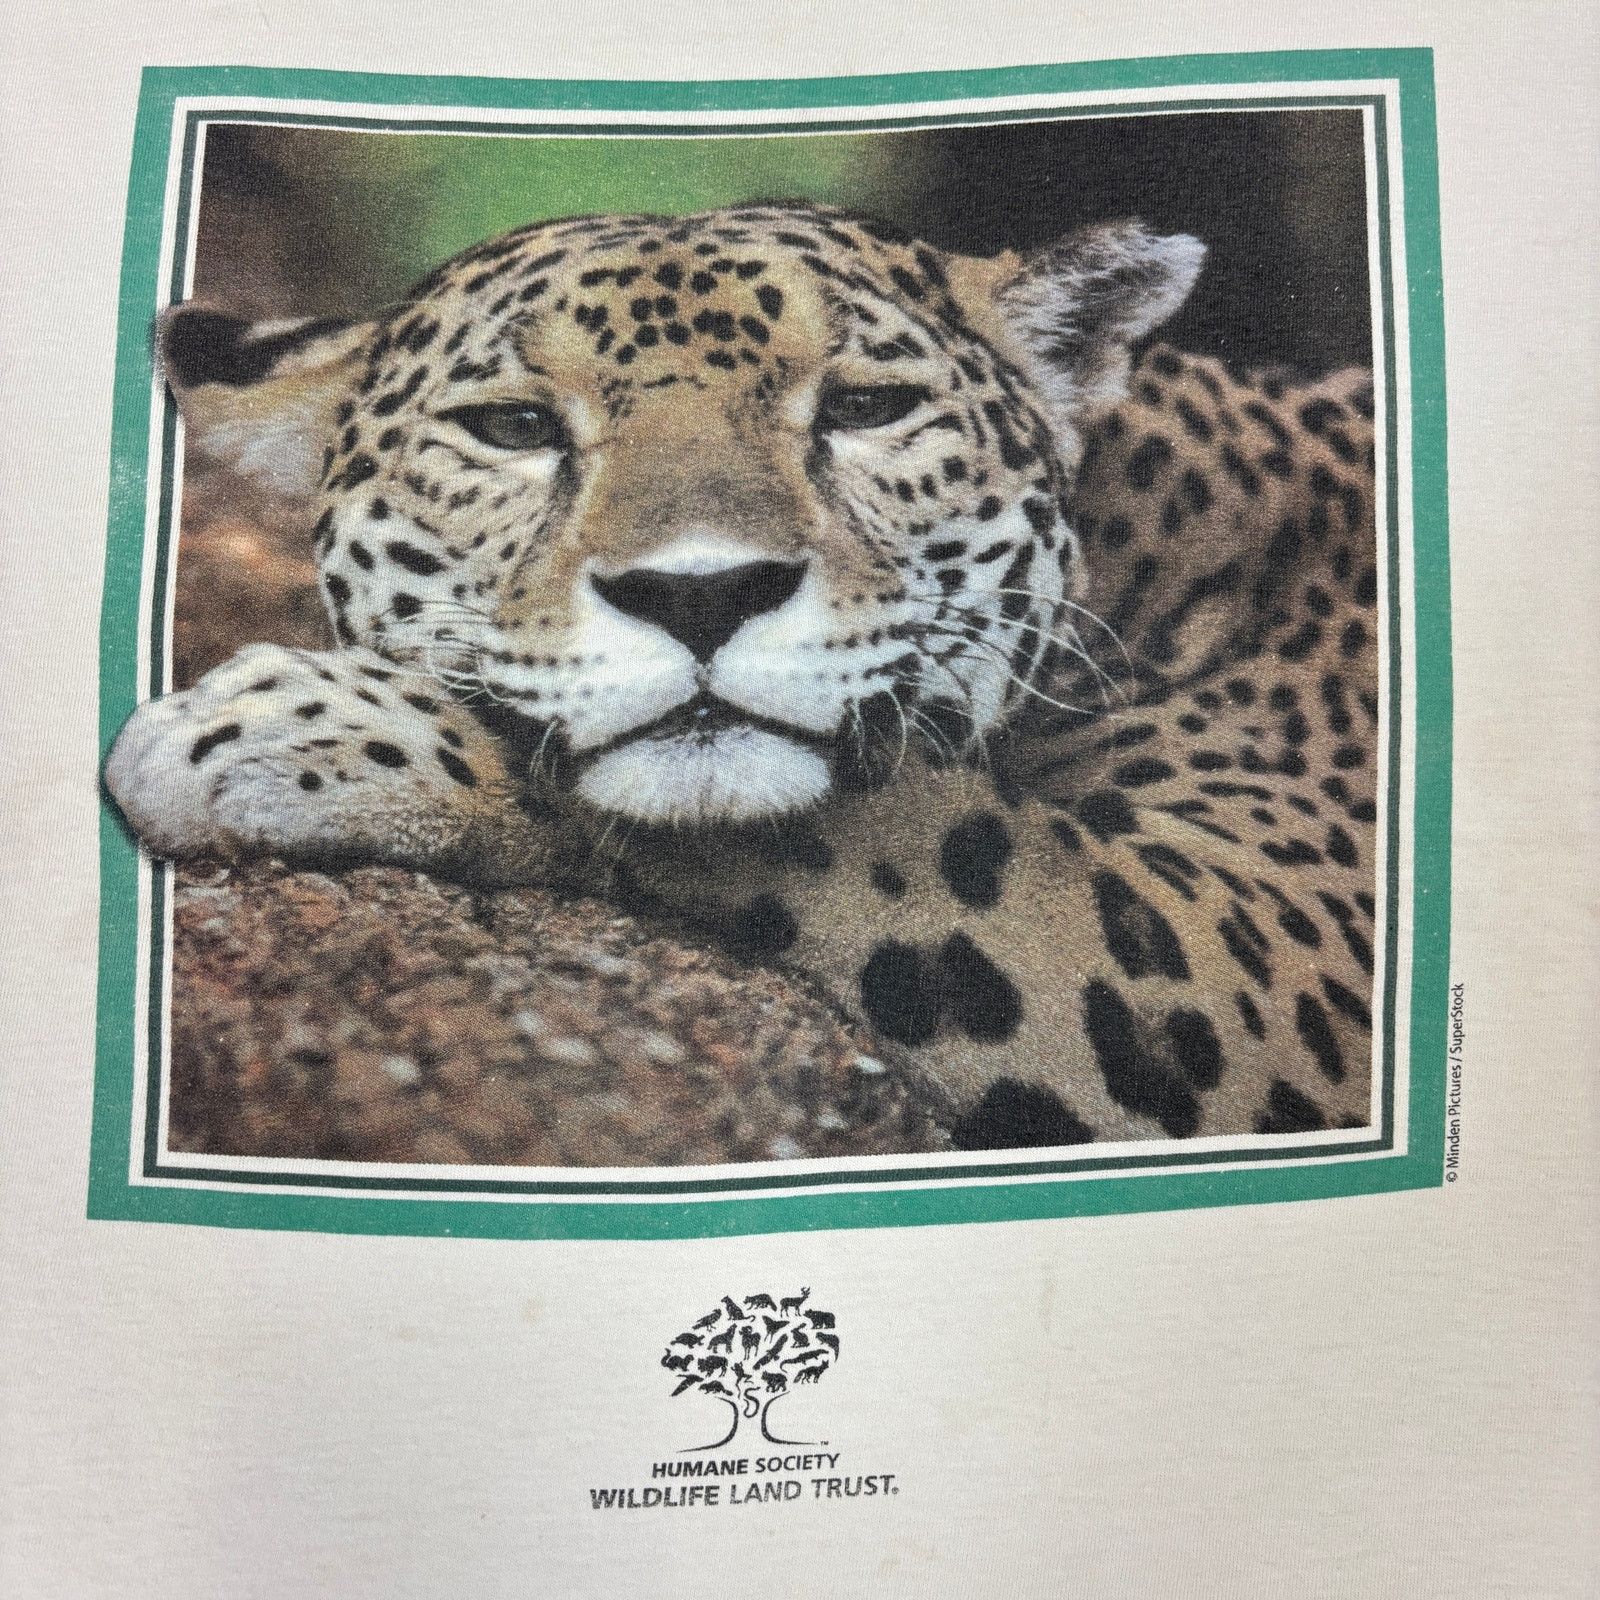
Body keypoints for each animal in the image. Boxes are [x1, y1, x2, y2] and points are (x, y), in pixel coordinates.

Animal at [105, 200, 1382, 1151]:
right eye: (514, 427)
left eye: (868, 407)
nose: (702, 592)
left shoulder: (1255, 958)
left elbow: (863, 819)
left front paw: (287, 729)